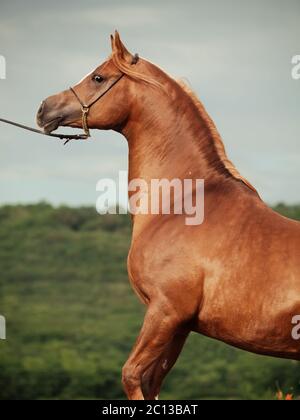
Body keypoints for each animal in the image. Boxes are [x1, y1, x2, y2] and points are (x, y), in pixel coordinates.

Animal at [37, 31, 300, 398]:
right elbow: (152, 381)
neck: (184, 204)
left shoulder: (165, 312)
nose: (44, 108)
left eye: (98, 77)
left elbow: (132, 374)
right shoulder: (181, 325)